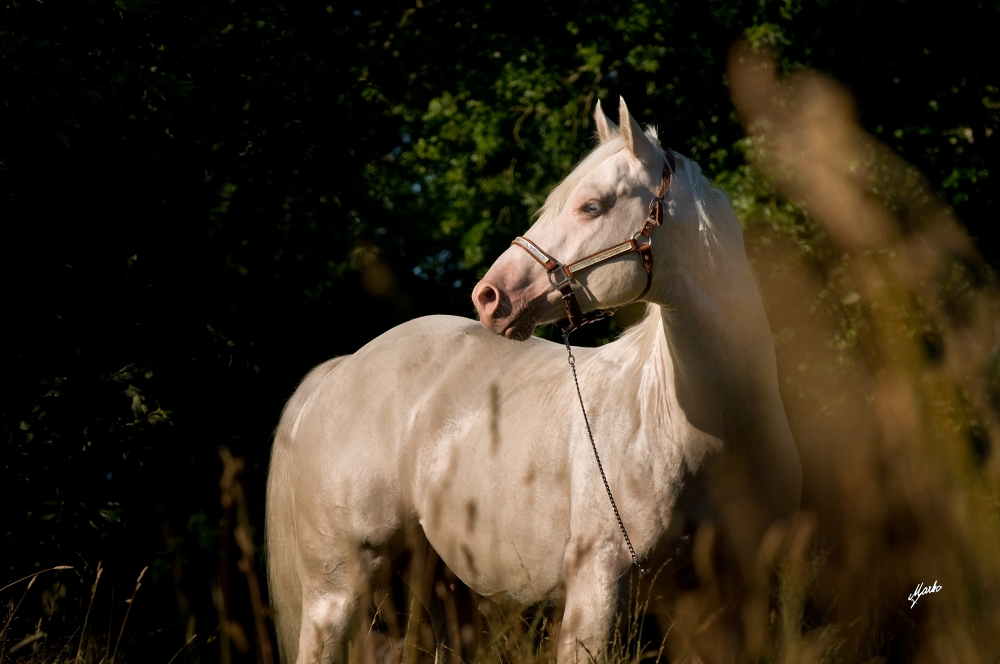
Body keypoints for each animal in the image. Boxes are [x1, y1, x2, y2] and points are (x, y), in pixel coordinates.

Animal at [264, 98, 796, 664]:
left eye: (592, 206)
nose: (489, 296)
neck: (703, 428)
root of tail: (341, 368)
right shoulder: (597, 581)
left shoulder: (725, 606)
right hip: (337, 591)